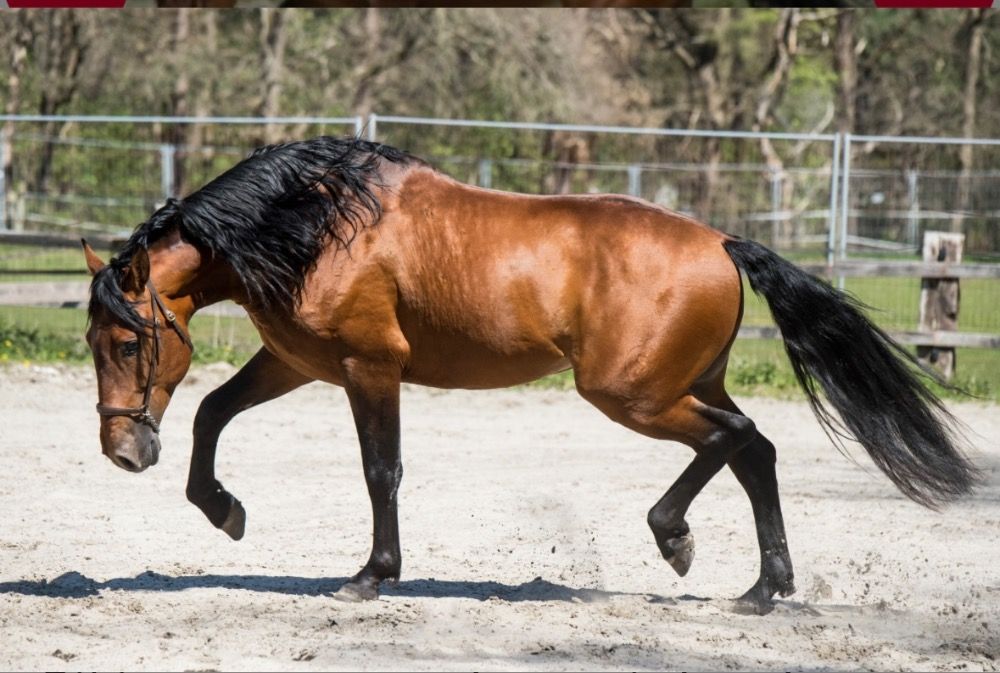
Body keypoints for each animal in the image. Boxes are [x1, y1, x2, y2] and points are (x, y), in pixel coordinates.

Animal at [82, 136, 978, 614]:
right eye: (93, 340)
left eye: (127, 343)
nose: (122, 453)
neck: (314, 225)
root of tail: (722, 242)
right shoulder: (299, 362)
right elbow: (211, 413)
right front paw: (223, 510)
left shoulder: (370, 368)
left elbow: (380, 471)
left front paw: (371, 575)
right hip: (682, 384)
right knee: (755, 452)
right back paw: (760, 587)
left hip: (632, 393)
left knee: (737, 438)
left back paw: (680, 541)